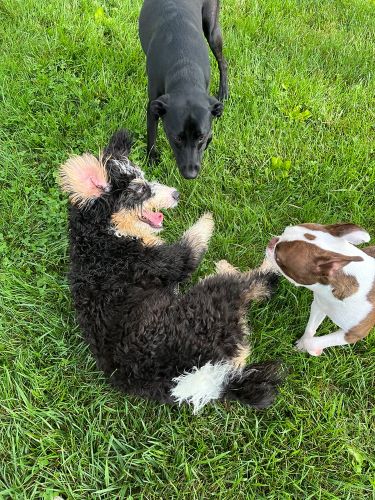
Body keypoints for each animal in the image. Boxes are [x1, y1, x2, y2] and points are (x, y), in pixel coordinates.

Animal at [59, 130, 282, 414]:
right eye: (140, 190)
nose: (176, 194)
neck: (103, 238)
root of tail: (200, 379)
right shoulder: (169, 260)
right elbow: (194, 238)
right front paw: (208, 216)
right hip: (214, 297)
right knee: (259, 283)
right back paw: (268, 258)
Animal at [140, 0, 229, 179]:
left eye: (200, 137)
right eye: (177, 138)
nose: (190, 174)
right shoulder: (153, 105)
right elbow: (151, 134)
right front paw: (151, 159)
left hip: (212, 30)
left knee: (223, 62)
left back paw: (224, 91)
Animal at [268, 223, 375, 356]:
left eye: (278, 258)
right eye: (285, 231)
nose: (272, 241)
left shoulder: (355, 333)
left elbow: (312, 342)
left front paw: (313, 350)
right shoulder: (319, 305)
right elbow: (310, 329)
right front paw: (302, 345)